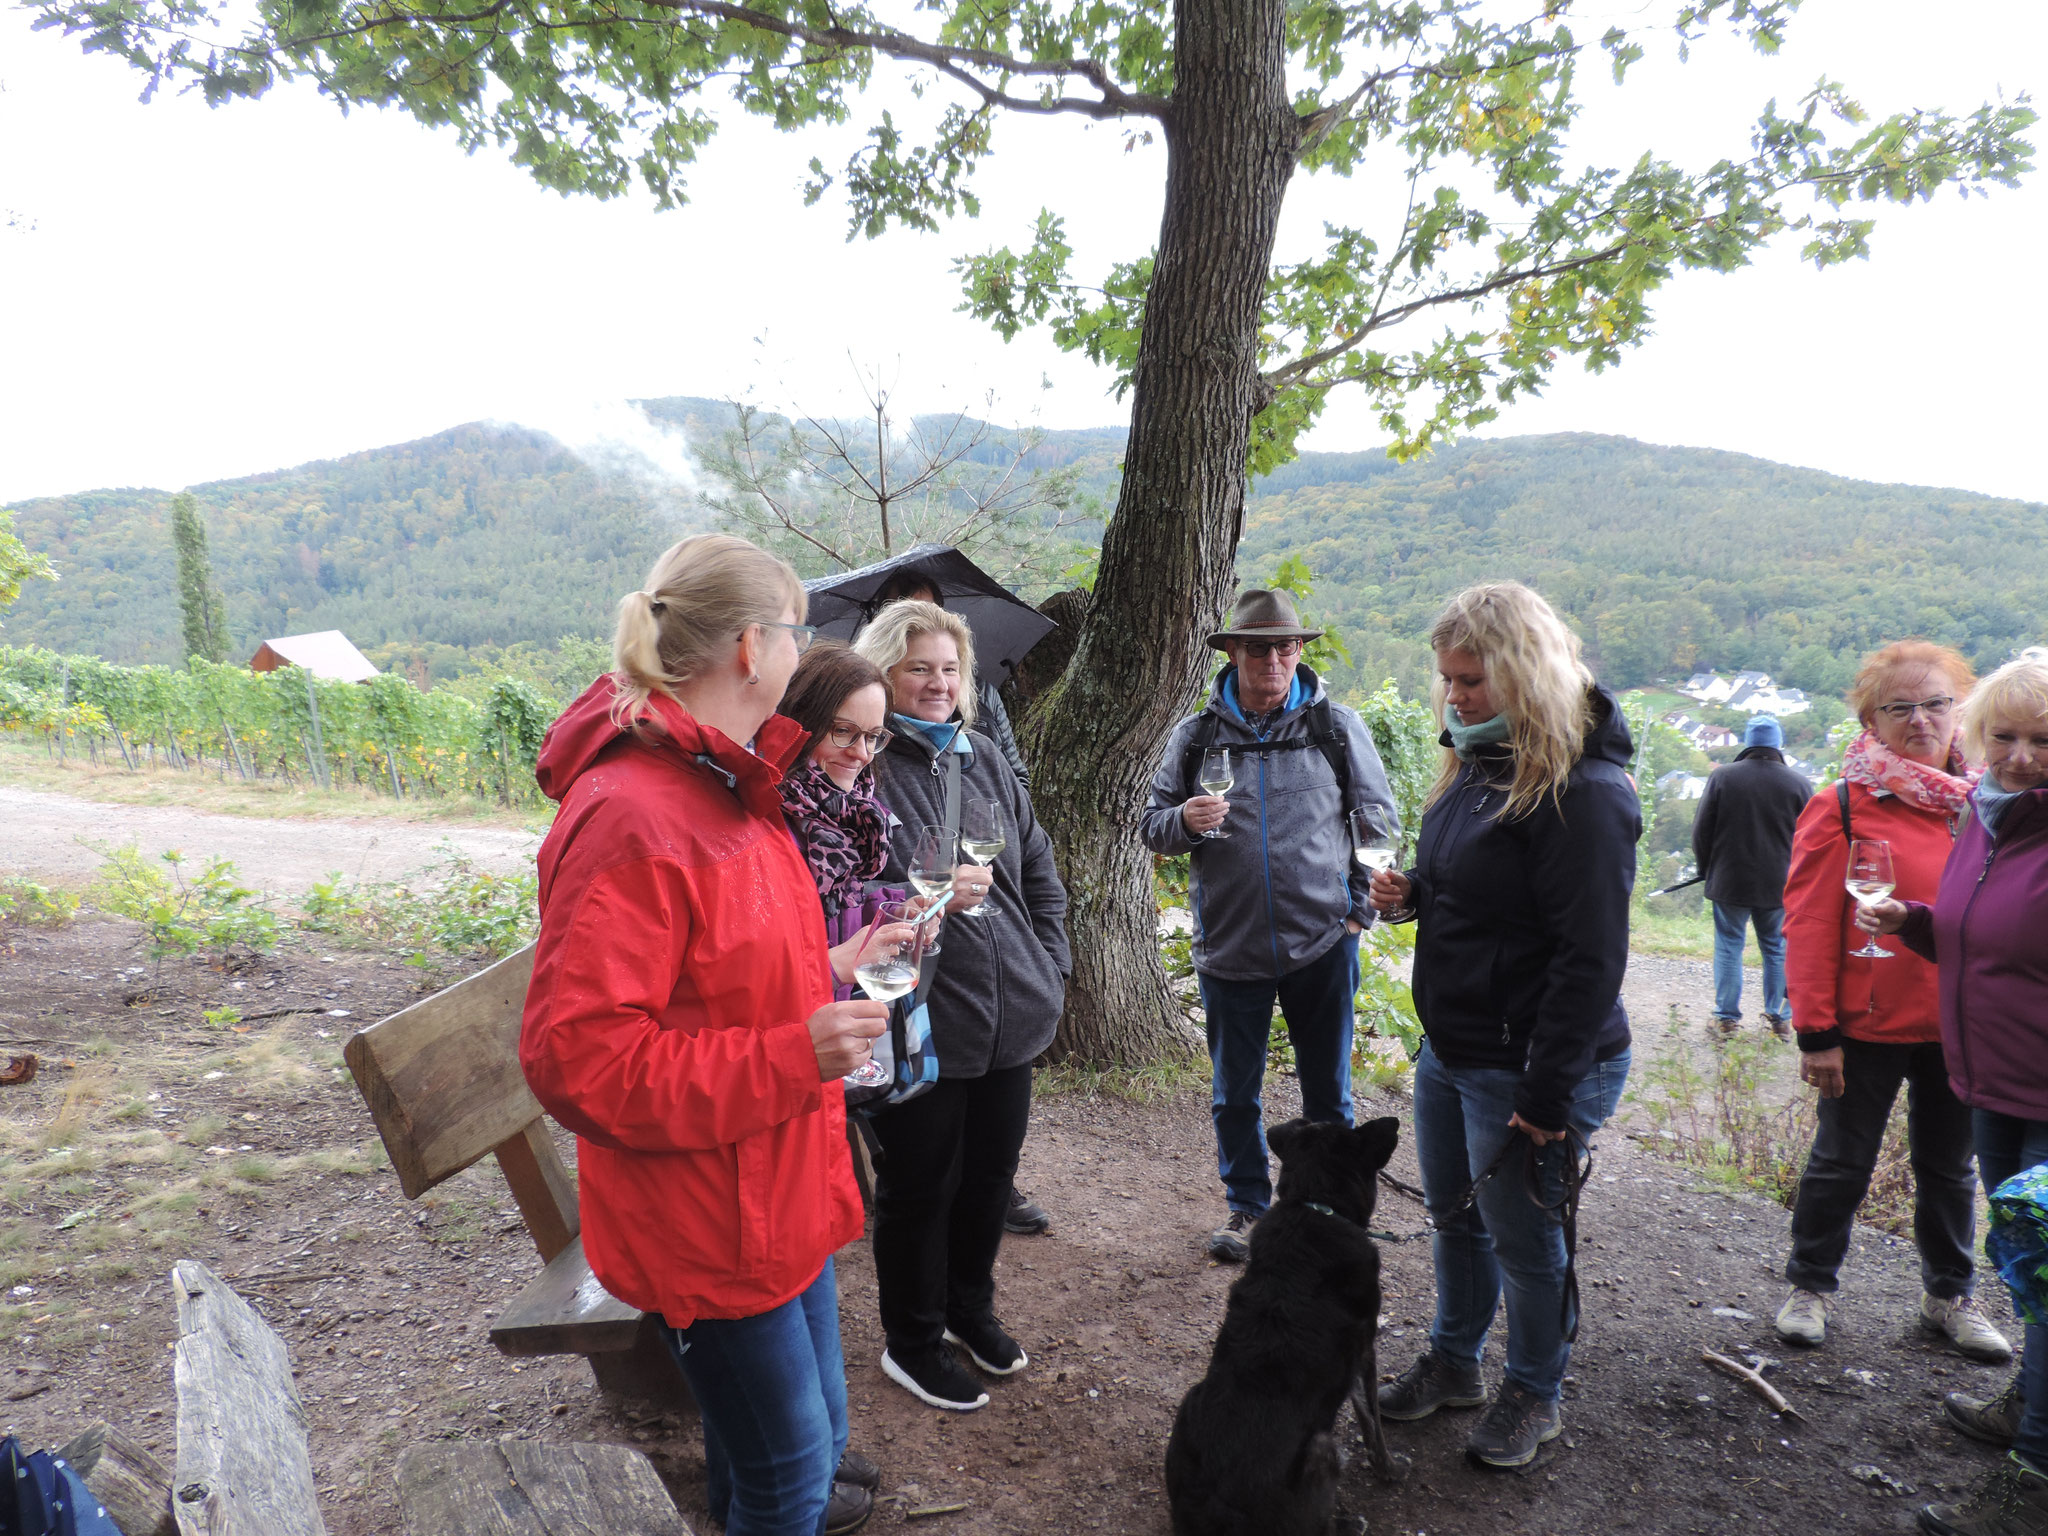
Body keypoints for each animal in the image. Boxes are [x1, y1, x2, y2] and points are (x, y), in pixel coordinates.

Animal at [1171, 1122, 1409, 1536]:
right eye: (1354, 1131)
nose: (1394, 1121)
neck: (1315, 1205)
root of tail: (1220, 1512)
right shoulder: (1365, 1347)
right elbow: (1373, 1416)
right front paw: (1388, 1466)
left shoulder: (1349, 1360)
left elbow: (1362, 1407)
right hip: (1321, 1448)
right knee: (1321, 1526)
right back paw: (1351, 1523)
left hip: (1188, 1403)